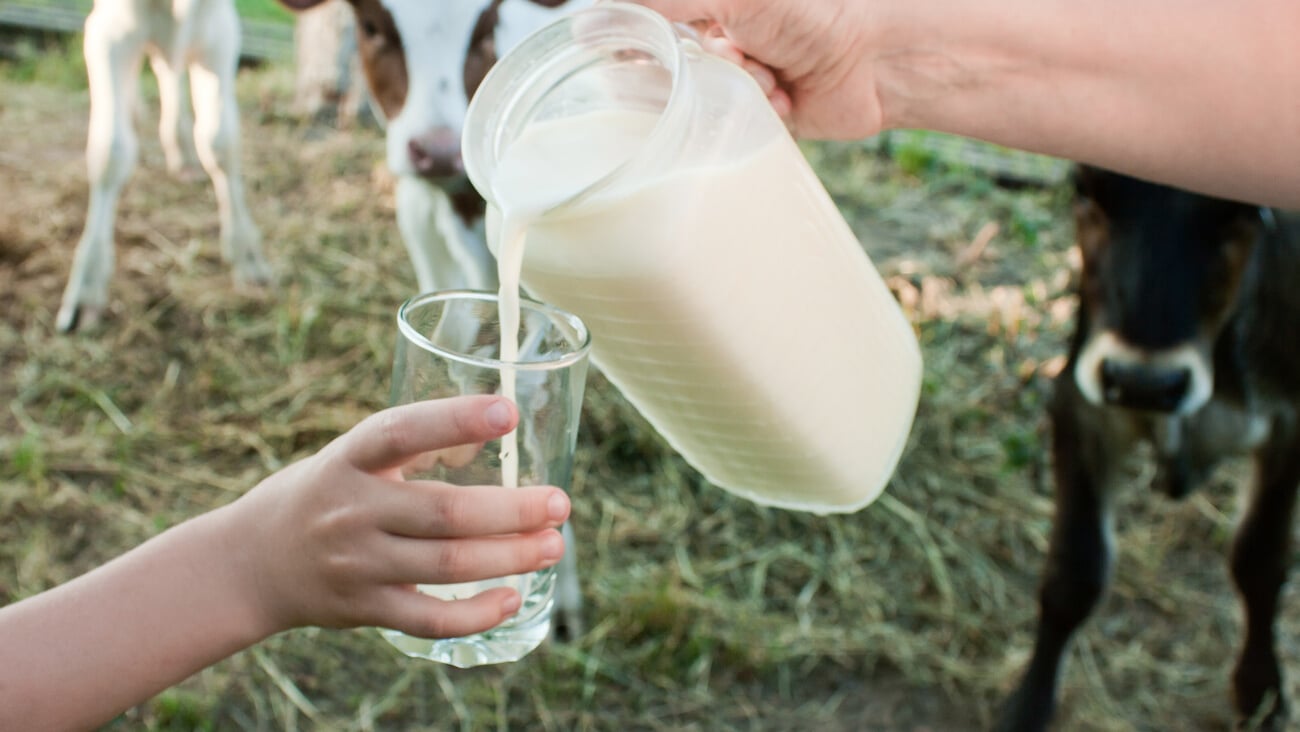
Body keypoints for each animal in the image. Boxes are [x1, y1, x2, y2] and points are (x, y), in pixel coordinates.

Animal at [59, 0, 271, 332]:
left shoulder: (220, 30)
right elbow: (111, 149)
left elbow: (220, 140)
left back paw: (182, 154)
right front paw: (87, 286)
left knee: (168, 68)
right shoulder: (107, 33)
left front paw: (246, 253)